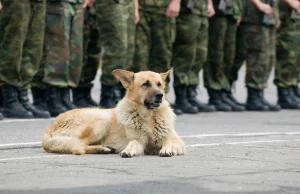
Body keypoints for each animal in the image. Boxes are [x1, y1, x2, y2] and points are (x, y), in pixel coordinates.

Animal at [42, 69, 185, 158]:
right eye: (146, 84)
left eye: (159, 84)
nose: (160, 96)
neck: (148, 117)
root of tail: (50, 126)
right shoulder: (139, 142)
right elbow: (133, 143)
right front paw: (127, 150)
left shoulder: (178, 142)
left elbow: (168, 141)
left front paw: (166, 148)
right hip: (101, 121)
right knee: (78, 145)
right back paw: (102, 149)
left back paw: (102, 148)